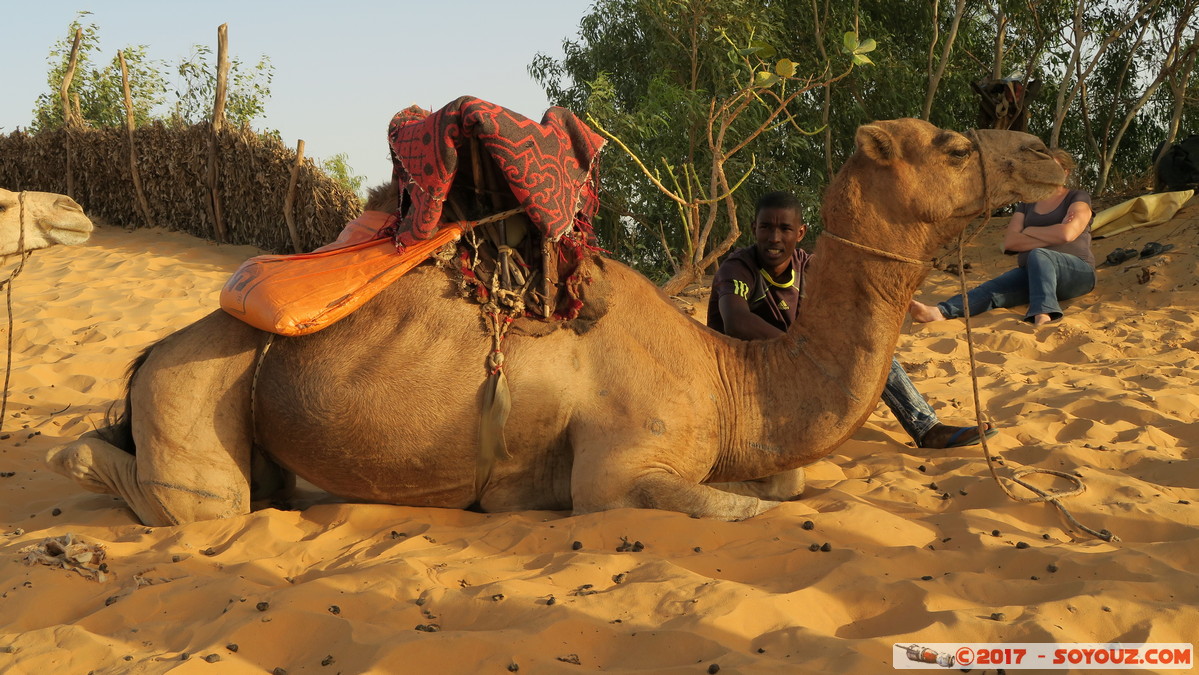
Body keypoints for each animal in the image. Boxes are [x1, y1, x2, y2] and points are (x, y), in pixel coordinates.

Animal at [42, 118, 1064, 525]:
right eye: (953, 145)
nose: (1049, 155)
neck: (723, 374)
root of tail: (150, 355)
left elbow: (790, 483)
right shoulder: (616, 472)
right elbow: (736, 507)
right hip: (193, 396)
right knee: (171, 491)